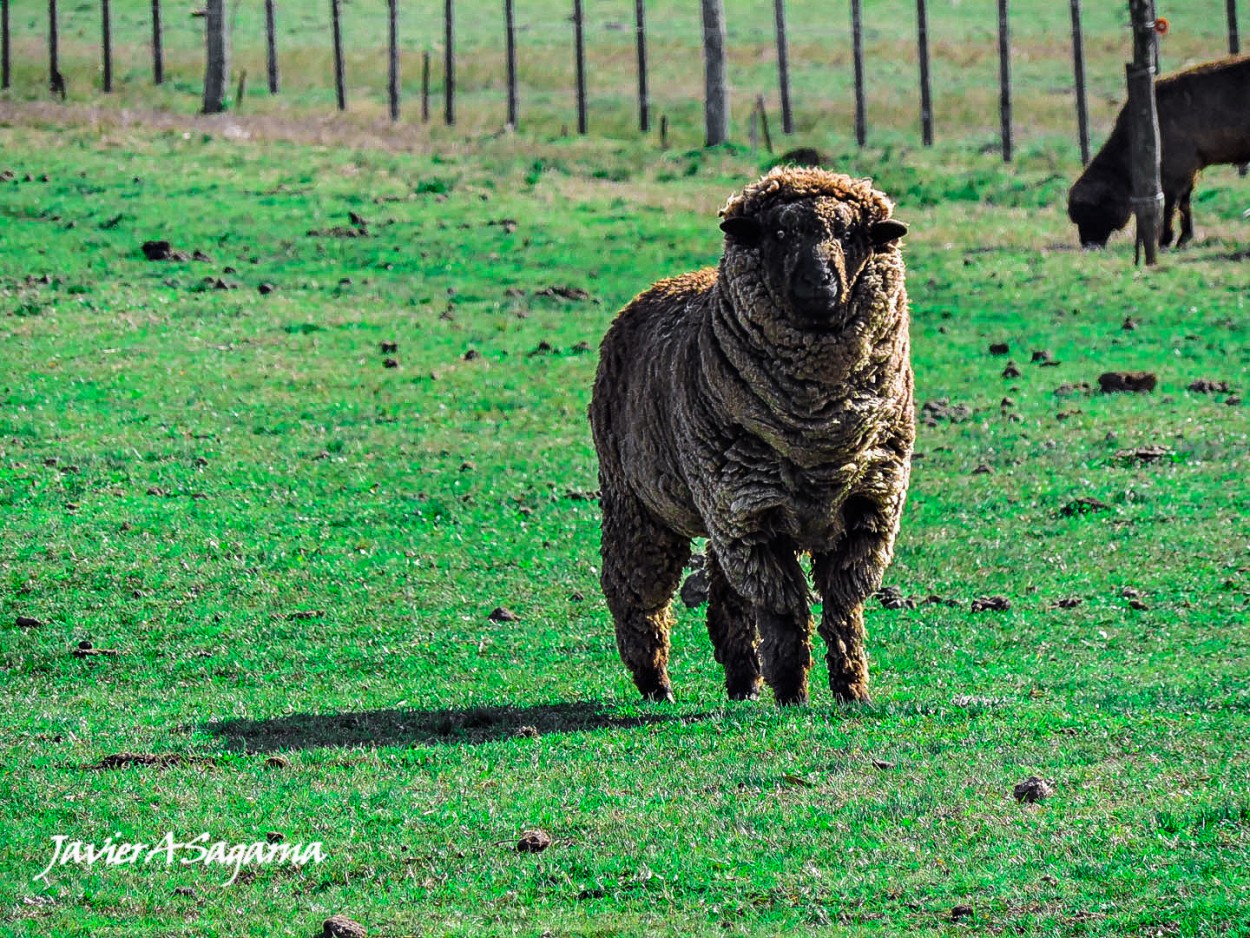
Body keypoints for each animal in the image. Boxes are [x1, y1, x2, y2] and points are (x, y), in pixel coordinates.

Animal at [590, 168, 915, 705]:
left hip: (719, 508)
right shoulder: (751, 516)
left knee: (726, 595)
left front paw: (852, 690)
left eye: (851, 234)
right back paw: (655, 682)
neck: (818, 435)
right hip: (640, 500)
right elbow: (784, 608)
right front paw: (792, 692)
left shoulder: (868, 509)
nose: (819, 283)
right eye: (779, 233)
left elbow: (843, 605)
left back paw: (742, 681)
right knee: (634, 588)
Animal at [1065, 53, 1250, 247]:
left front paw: (1166, 240)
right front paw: (1184, 238)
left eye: (1089, 211)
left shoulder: (1177, 170)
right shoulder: (1186, 171)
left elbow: (1171, 205)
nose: (1088, 245)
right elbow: (1185, 203)